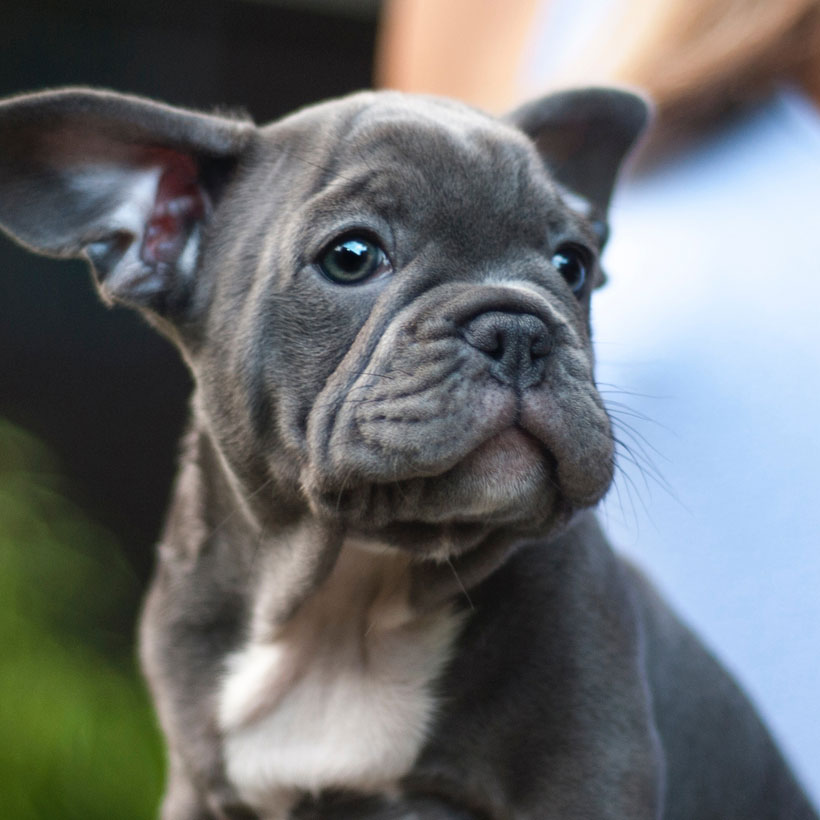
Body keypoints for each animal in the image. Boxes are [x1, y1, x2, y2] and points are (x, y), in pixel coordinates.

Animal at [0, 85, 812, 820]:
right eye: (352, 256)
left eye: (573, 265)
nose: (518, 328)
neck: (349, 593)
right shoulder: (200, 790)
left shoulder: (589, 777)